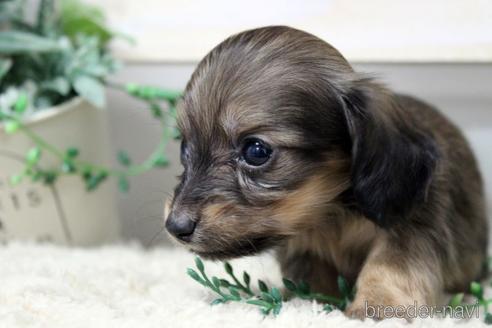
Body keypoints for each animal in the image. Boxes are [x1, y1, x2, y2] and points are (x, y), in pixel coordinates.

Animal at [163, 26, 486, 320]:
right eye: (184, 147)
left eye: (256, 150)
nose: (175, 226)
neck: (332, 213)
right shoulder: (303, 248)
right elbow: (312, 280)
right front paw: (313, 304)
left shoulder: (413, 225)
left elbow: (390, 264)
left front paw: (378, 306)